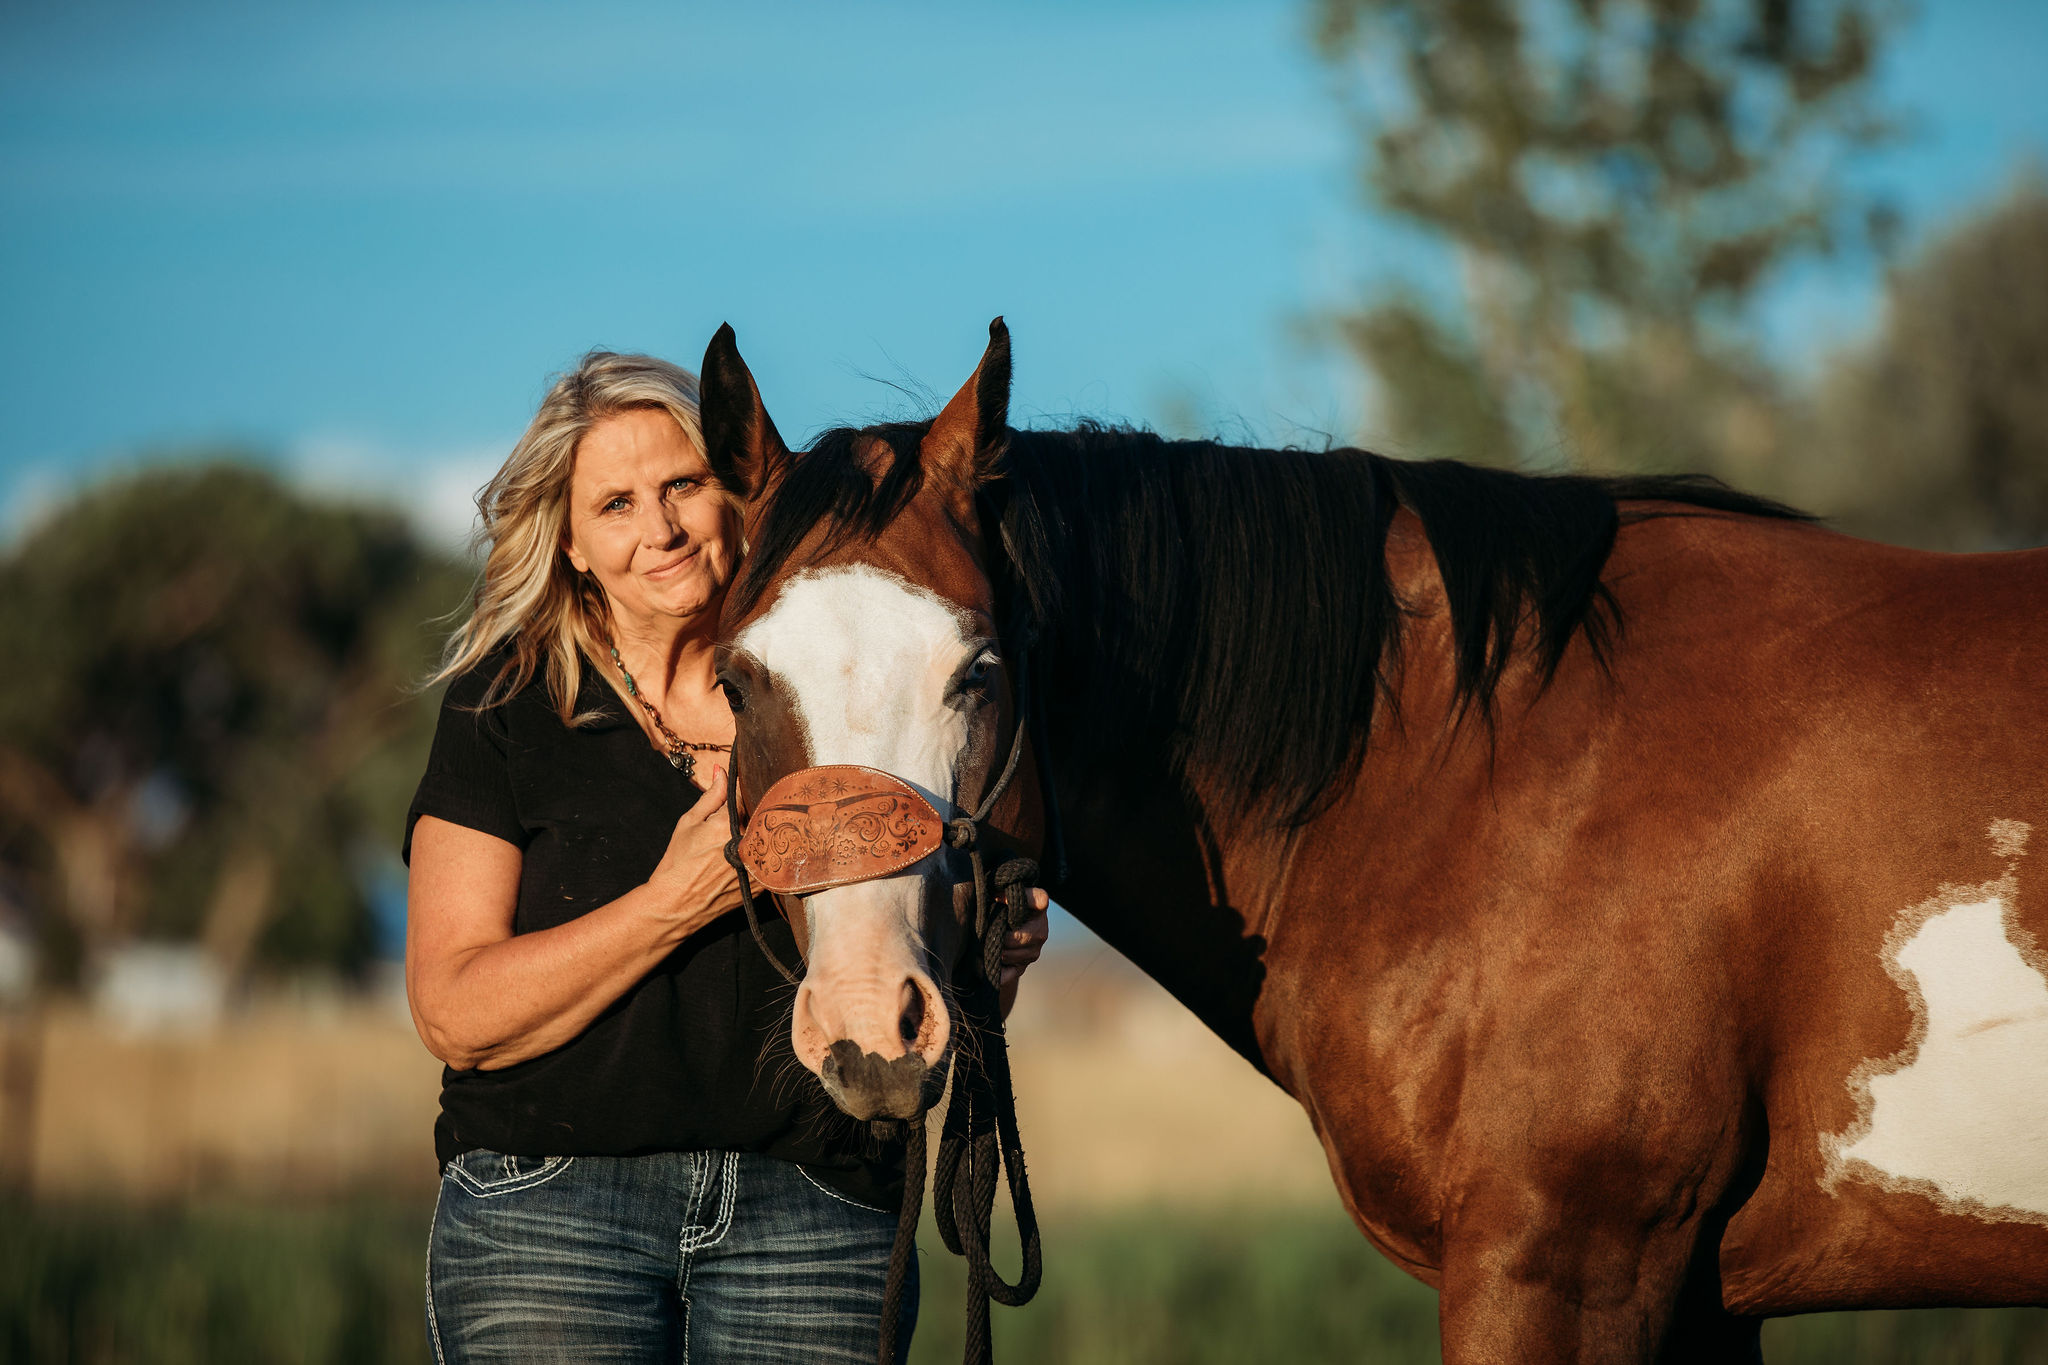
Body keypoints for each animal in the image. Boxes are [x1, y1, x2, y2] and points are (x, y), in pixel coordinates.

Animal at [696, 317, 2048, 1362]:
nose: (871, 1026)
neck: (1491, 769)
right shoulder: (1697, 1300)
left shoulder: (1562, 1263)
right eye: (736, 679)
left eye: (975, 670)